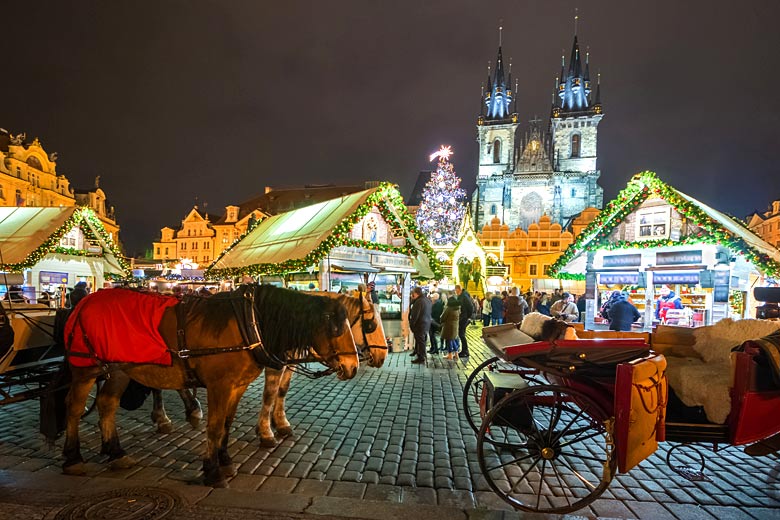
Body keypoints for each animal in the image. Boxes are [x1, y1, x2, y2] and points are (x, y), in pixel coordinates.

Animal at [61, 284, 360, 488]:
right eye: (336, 327)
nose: (353, 366)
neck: (248, 323)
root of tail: (85, 302)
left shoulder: (237, 386)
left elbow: (226, 423)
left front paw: (225, 460)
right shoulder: (219, 386)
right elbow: (214, 426)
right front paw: (213, 470)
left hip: (119, 371)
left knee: (107, 405)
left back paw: (116, 453)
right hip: (86, 369)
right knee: (74, 408)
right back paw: (73, 458)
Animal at [258, 292, 388, 446]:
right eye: (370, 325)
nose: (383, 356)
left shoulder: (290, 363)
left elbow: (282, 389)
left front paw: (280, 422)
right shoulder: (274, 364)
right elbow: (270, 394)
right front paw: (266, 432)